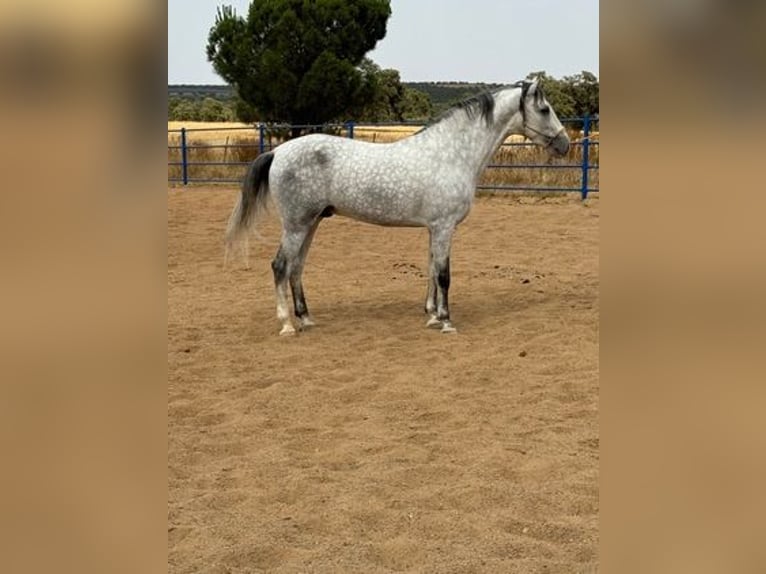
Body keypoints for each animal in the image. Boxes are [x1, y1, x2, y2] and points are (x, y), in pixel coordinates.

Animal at [228, 79, 568, 336]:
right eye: (544, 109)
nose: (565, 144)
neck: (450, 153)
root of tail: (278, 151)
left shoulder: (435, 228)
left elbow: (431, 270)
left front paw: (432, 315)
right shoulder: (444, 226)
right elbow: (444, 274)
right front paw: (446, 322)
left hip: (311, 223)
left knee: (296, 267)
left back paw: (307, 318)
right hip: (296, 225)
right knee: (280, 266)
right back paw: (287, 324)